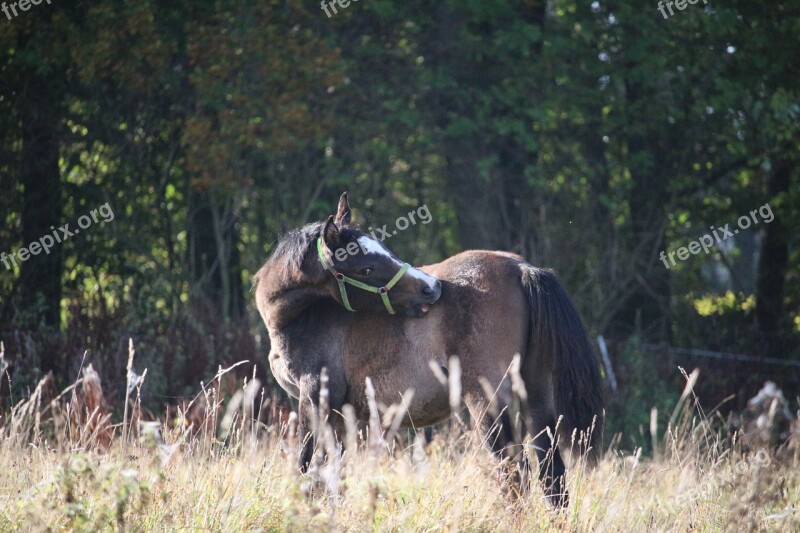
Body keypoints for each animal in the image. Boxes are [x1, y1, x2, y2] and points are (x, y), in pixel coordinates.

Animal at [253, 192, 604, 508]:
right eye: (365, 268)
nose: (431, 287)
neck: (305, 315)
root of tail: (521, 268)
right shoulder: (339, 413)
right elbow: (331, 474)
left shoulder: (315, 398)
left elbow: (307, 465)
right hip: (536, 400)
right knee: (551, 474)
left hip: (486, 401)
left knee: (514, 475)